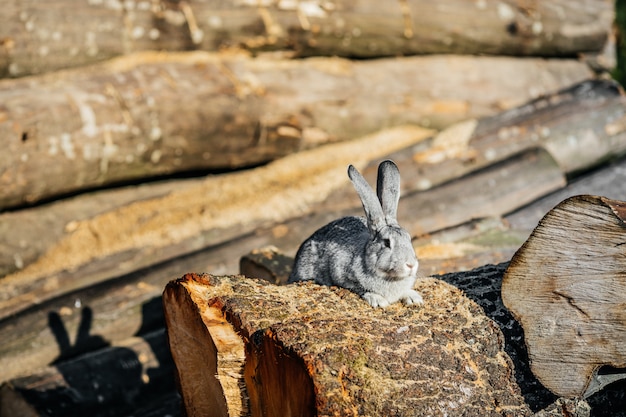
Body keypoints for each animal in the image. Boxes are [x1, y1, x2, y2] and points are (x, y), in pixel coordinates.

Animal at [288, 158, 420, 306]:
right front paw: (378, 300)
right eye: (387, 243)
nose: (411, 265)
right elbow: (360, 288)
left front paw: (414, 298)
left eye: (409, 238)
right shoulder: (341, 273)